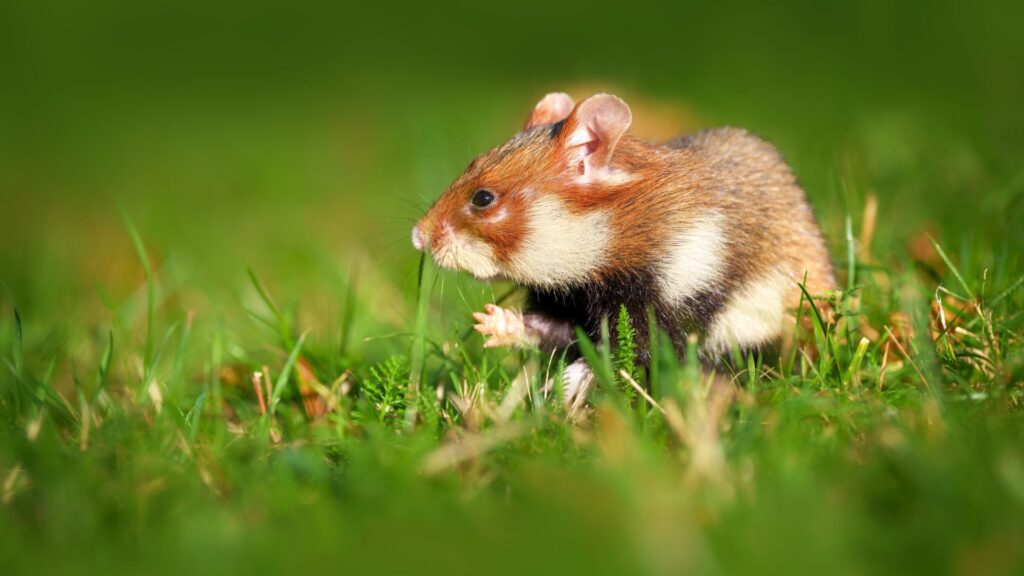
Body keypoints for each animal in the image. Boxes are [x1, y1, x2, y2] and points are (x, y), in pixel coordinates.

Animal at [412, 92, 835, 404]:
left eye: (483, 198)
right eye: (470, 164)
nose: (418, 236)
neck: (608, 240)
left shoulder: (669, 299)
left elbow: (622, 352)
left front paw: (566, 389)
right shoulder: (575, 303)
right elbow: (554, 331)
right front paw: (490, 322)